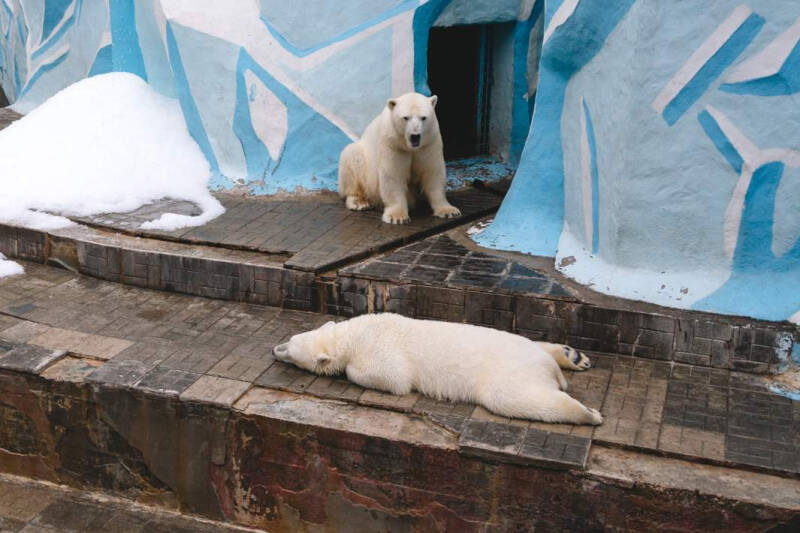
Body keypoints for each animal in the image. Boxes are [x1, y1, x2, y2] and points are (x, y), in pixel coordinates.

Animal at [272, 312, 604, 424]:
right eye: (289, 339)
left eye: (289, 348)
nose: (274, 349)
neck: (351, 334)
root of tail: (546, 366)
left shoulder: (381, 351)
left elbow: (393, 378)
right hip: (521, 345)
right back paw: (574, 356)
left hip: (509, 373)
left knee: (514, 399)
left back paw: (590, 414)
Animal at [338, 92, 462, 223]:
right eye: (405, 117)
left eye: (423, 117)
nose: (415, 136)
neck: (409, 147)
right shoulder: (393, 144)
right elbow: (393, 175)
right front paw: (397, 217)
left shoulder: (428, 144)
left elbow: (433, 172)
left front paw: (449, 211)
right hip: (363, 165)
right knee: (351, 156)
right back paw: (359, 202)